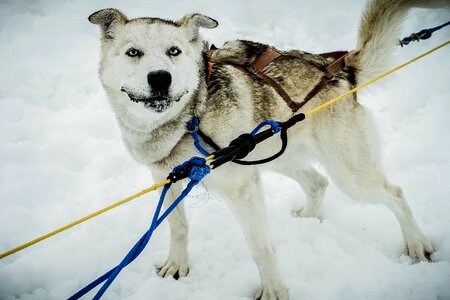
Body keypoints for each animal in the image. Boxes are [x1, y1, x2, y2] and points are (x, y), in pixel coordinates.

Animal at [89, 0, 446, 298]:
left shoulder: (243, 190)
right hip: (274, 154)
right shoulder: (167, 180)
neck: (190, 119)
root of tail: (339, 70)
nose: (160, 78)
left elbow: (260, 246)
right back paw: (307, 220)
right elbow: (178, 227)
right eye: (133, 53)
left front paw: (274, 291)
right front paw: (177, 266)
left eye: (174, 51)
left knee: (394, 193)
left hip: (350, 175)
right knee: (318, 182)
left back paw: (417, 245)